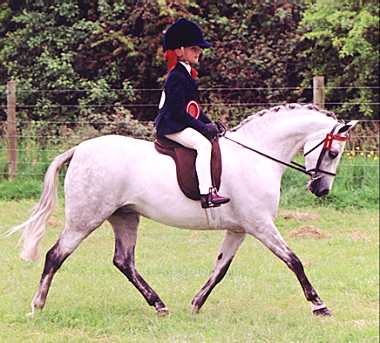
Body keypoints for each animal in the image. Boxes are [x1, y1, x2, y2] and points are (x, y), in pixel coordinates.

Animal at [9, 104, 360, 318]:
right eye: (333, 152)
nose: (321, 190)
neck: (257, 156)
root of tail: (79, 150)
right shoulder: (260, 225)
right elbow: (294, 261)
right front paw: (319, 305)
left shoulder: (239, 229)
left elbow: (220, 269)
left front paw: (196, 303)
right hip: (85, 219)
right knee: (55, 255)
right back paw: (37, 306)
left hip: (125, 217)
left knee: (124, 261)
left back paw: (159, 305)